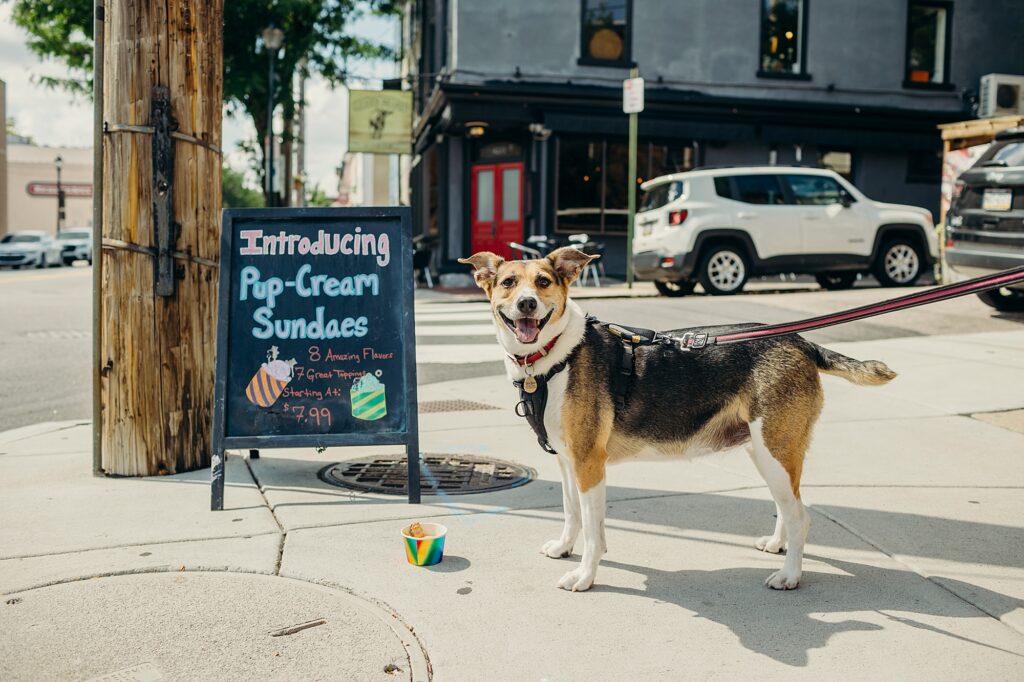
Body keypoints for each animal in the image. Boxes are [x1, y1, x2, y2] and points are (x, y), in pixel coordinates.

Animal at [458, 245, 897, 589]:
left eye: (544, 281)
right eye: (508, 283)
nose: (527, 304)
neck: (552, 357)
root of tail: (801, 340)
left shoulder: (589, 463)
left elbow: (593, 530)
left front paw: (584, 576)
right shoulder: (568, 462)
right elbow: (572, 513)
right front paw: (565, 548)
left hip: (775, 447)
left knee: (800, 515)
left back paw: (789, 575)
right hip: (764, 450)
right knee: (789, 506)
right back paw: (778, 546)